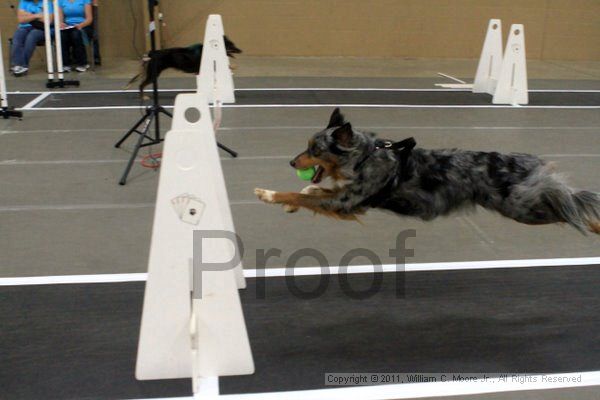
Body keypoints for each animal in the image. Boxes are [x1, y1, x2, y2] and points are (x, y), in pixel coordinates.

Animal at [254, 108, 600, 236]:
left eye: (314, 150)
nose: (291, 162)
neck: (364, 157)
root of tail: (534, 163)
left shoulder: (346, 202)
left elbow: (301, 194)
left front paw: (269, 194)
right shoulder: (350, 198)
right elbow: (310, 191)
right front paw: (291, 203)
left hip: (524, 208)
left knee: (569, 206)